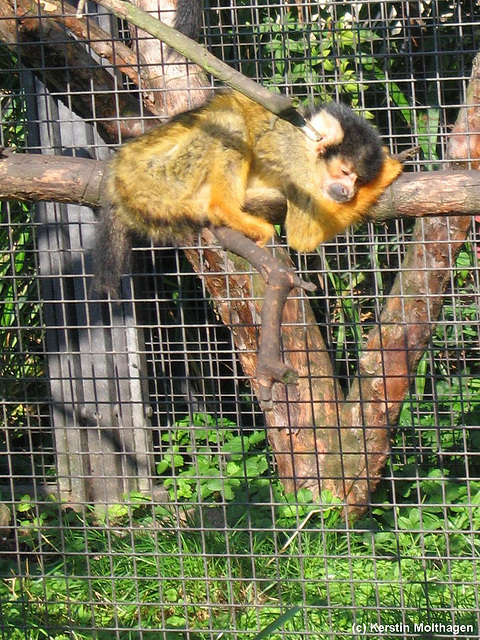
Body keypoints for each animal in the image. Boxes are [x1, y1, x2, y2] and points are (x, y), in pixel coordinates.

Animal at [94, 90, 402, 296]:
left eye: (358, 180)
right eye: (346, 172)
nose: (348, 192)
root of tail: (120, 177)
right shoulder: (295, 155)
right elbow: (303, 235)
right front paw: (391, 169)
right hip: (161, 174)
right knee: (229, 122)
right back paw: (226, 210)